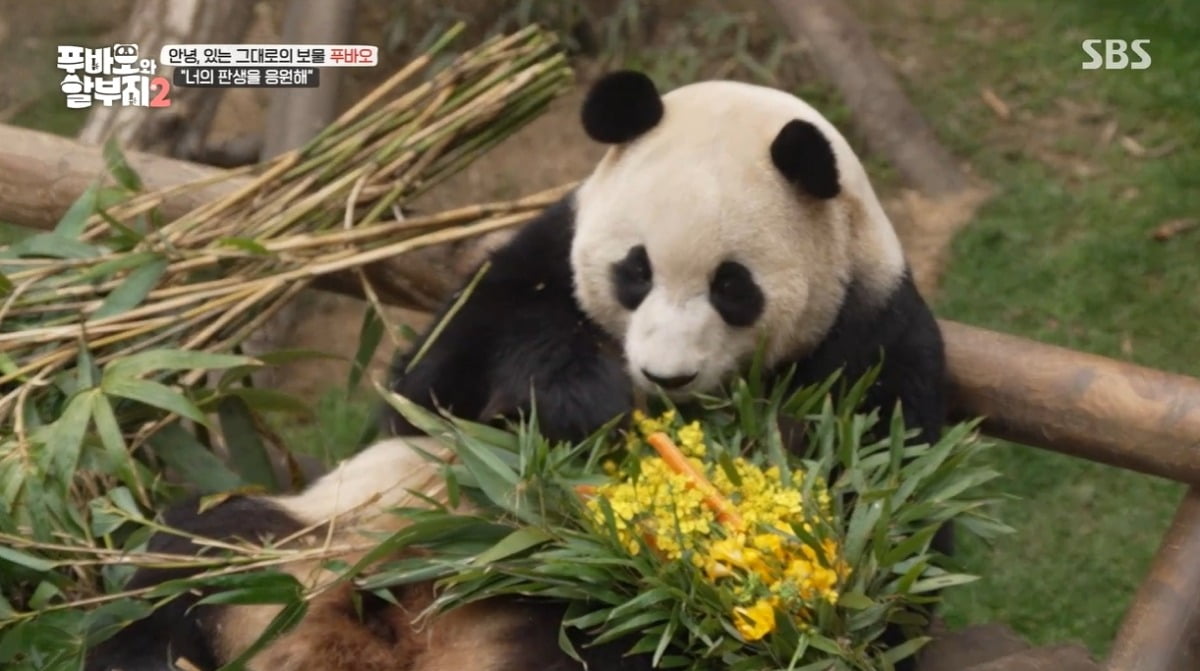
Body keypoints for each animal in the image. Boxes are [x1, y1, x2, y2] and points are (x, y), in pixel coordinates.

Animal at [84, 70, 945, 671]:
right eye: (634, 271)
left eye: (733, 287)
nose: (662, 375)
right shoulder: (538, 253)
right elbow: (430, 384)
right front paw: (577, 399)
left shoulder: (873, 342)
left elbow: (887, 536)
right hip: (308, 538)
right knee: (181, 560)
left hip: (559, 619)